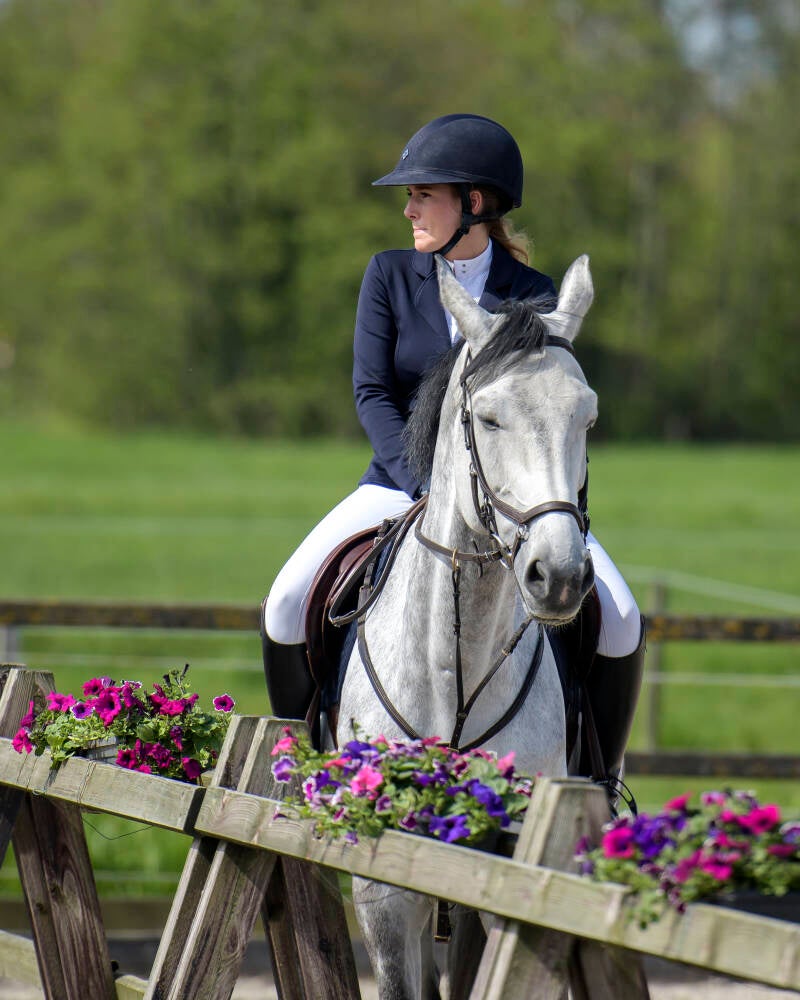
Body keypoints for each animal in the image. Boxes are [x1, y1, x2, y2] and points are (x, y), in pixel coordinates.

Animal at [337, 254, 598, 1000]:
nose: (557, 576)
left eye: (588, 417)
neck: (456, 662)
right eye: (488, 418)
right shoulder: (382, 884)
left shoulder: (500, 861)